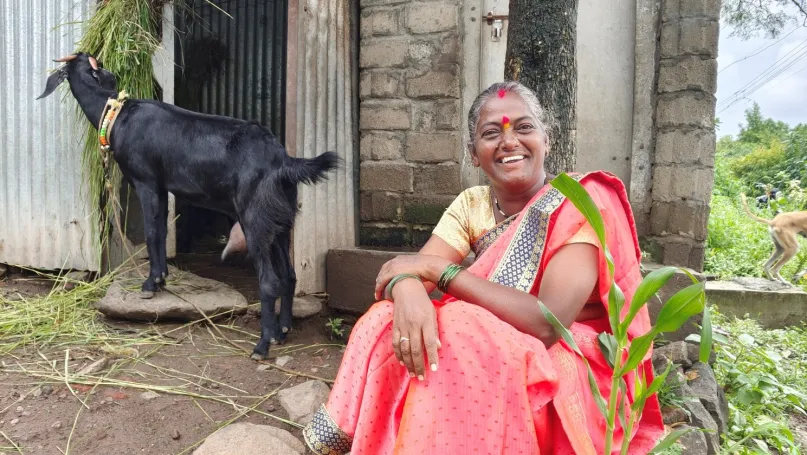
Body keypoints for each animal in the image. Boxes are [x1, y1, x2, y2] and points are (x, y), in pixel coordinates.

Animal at [38, 53, 338, 360]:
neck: (118, 114)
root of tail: (283, 161)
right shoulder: (161, 187)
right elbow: (160, 231)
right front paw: (160, 279)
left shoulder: (146, 181)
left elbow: (151, 233)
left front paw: (149, 285)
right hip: (279, 221)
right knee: (289, 275)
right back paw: (283, 330)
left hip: (254, 218)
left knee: (269, 281)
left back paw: (262, 344)